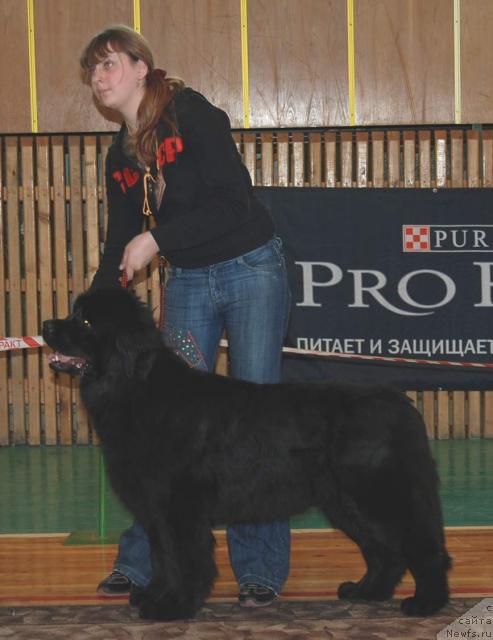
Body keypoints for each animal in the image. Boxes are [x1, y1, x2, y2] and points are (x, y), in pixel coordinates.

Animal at [42, 290, 450, 620]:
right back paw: (367, 591)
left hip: (378, 494)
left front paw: (173, 606)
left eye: (86, 321)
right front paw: (154, 597)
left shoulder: (179, 507)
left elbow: (183, 558)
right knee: (386, 551)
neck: (135, 388)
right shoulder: (155, 509)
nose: (46, 324)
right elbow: (162, 557)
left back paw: (426, 603)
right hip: (345, 502)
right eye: (73, 312)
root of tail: (402, 404)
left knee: (422, 547)